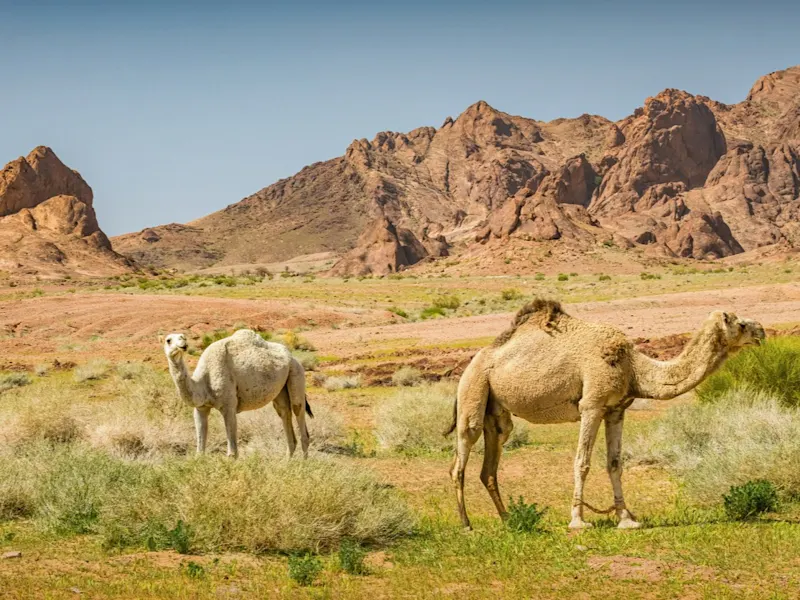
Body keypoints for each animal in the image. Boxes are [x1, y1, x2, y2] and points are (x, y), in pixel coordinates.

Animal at [162, 330, 312, 458]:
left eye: (183, 336)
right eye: (168, 340)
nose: (183, 342)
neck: (203, 381)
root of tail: (292, 357)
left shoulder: (228, 406)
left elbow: (232, 453)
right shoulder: (201, 408)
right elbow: (200, 451)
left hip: (296, 372)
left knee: (298, 412)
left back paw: (302, 465)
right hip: (281, 389)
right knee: (285, 413)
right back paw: (286, 464)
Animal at [446, 300, 764, 528]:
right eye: (741, 323)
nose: (761, 330)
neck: (634, 367)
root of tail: (475, 360)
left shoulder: (616, 409)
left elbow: (614, 464)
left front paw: (626, 519)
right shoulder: (592, 404)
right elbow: (582, 462)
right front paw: (578, 521)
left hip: (497, 412)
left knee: (490, 464)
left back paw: (509, 520)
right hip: (473, 389)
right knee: (461, 455)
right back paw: (466, 524)